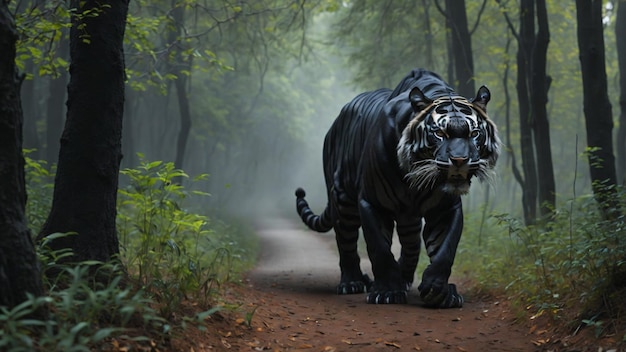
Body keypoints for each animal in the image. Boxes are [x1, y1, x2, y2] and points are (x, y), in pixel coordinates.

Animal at [294, 69, 500, 308]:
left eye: (474, 133)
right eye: (439, 134)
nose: (460, 160)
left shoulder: (445, 209)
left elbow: (444, 249)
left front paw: (439, 291)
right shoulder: (372, 203)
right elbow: (380, 249)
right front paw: (386, 292)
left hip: (407, 218)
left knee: (411, 246)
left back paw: (404, 280)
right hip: (343, 201)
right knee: (346, 243)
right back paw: (352, 282)